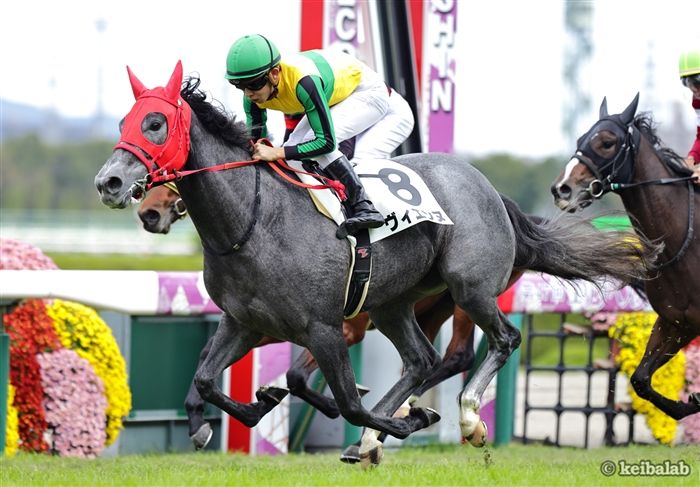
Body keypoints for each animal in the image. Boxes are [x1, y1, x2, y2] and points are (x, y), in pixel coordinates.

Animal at [95, 63, 658, 465]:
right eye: (124, 122)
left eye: (155, 123)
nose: (110, 184)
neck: (253, 222)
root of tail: (490, 189)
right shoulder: (244, 322)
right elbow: (208, 380)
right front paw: (242, 410)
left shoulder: (325, 328)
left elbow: (343, 399)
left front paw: (407, 422)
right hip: (395, 304)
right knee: (422, 361)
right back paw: (375, 435)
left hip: (469, 289)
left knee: (500, 341)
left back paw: (463, 419)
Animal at [550, 94, 700, 420]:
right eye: (581, 138)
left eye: (607, 142)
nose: (562, 189)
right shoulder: (676, 322)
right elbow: (640, 379)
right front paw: (688, 403)